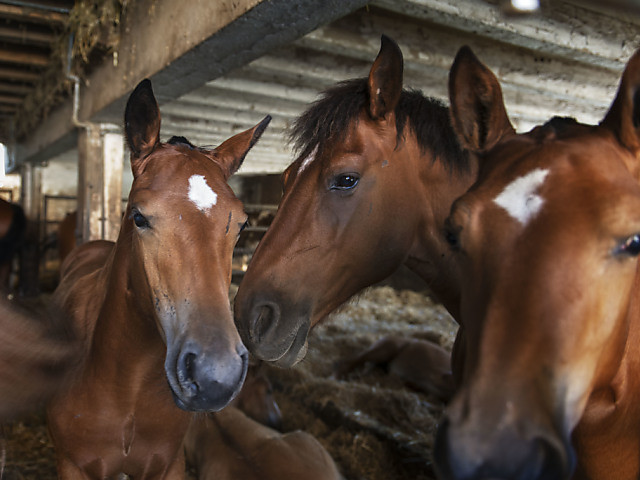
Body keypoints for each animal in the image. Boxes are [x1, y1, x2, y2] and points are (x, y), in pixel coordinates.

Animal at [47, 78, 270, 479]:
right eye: (138, 217)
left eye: (243, 224)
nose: (216, 375)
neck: (127, 390)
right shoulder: (71, 465)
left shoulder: (168, 465)